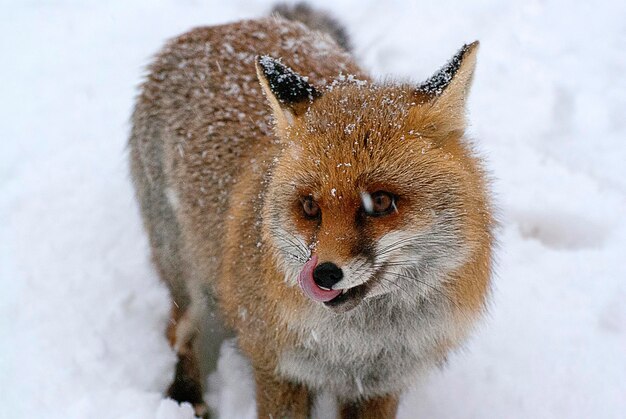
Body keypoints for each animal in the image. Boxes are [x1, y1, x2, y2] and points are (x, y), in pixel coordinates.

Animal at [129, 2, 494, 416]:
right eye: (308, 206)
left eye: (380, 202)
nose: (324, 274)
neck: (360, 345)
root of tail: (216, 28)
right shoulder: (277, 365)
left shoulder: (380, 384)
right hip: (186, 276)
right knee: (178, 330)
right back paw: (185, 394)